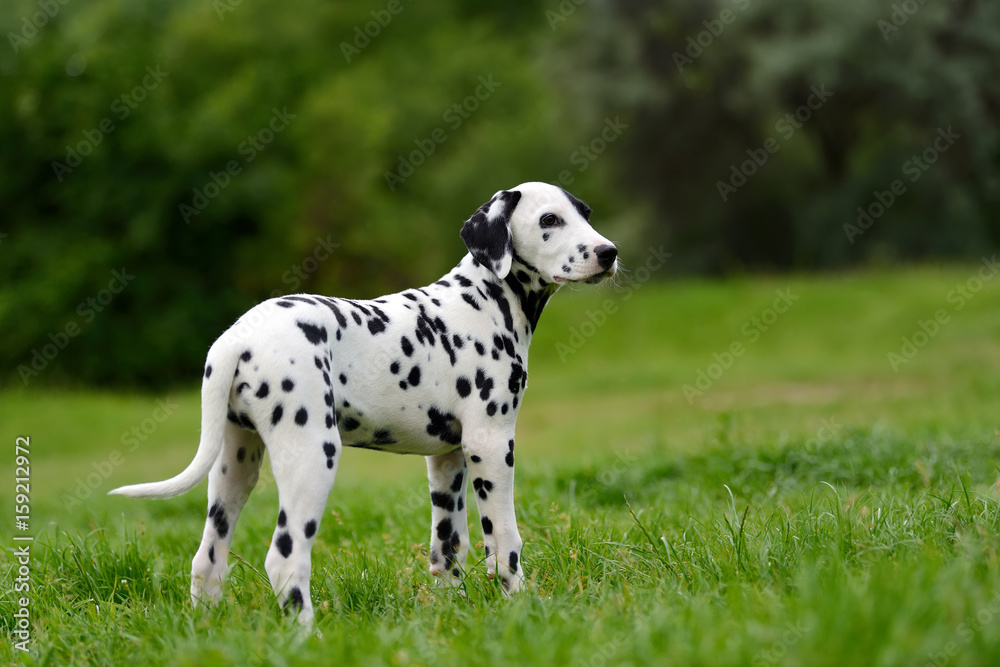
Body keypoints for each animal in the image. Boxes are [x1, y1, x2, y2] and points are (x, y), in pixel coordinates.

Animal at [113, 183, 620, 628]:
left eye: (586, 214)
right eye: (549, 220)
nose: (608, 252)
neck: (486, 299)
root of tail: (237, 338)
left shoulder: (448, 459)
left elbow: (448, 547)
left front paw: (451, 611)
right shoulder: (490, 445)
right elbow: (504, 542)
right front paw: (521, 606)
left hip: (234, 467)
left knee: (208, 559)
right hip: (312, 456)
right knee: (285, 559)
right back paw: (307, 636)